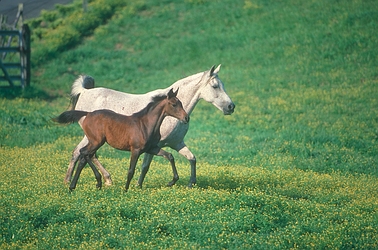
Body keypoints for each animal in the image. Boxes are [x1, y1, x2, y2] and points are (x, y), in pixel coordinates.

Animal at [66, 64, 235, 188]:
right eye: (215, 86)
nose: (231, 107)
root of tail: (84, 92)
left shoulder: (177, 143)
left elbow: (192, 158)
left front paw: (191, 183)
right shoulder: (153, 145)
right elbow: (145, 166)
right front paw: (138, 185)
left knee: (86, 153)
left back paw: (105, 180)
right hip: (93, 138)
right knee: (80, 152)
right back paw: (70, 181)